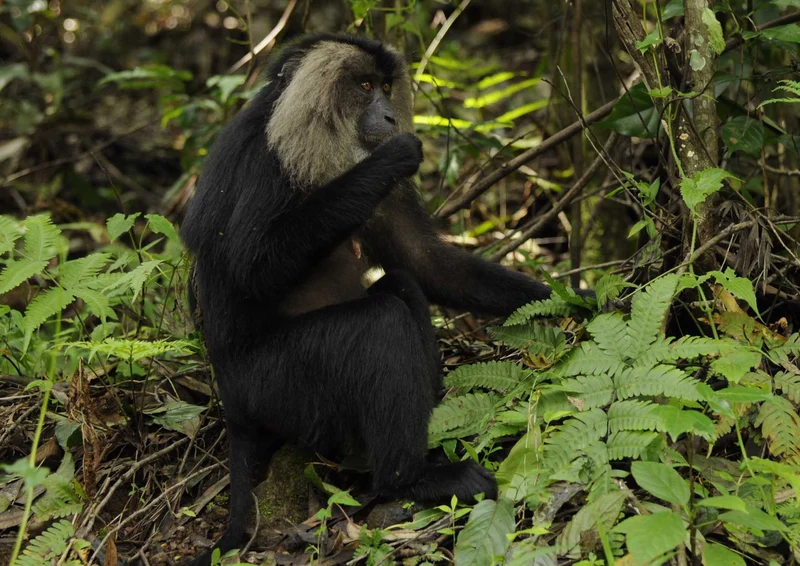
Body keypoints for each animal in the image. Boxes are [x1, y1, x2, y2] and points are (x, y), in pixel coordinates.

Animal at [180, 33, 592, 565]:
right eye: (364, 86)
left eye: (386, 87)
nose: (391, 116)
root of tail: (232, 404)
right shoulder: (263, 162)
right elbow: (253, 267)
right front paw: (391, 158)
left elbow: (423, 263)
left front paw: (583, 302)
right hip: (275, 386)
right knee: (380, 323)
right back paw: (408, 481)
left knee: (401, 288)